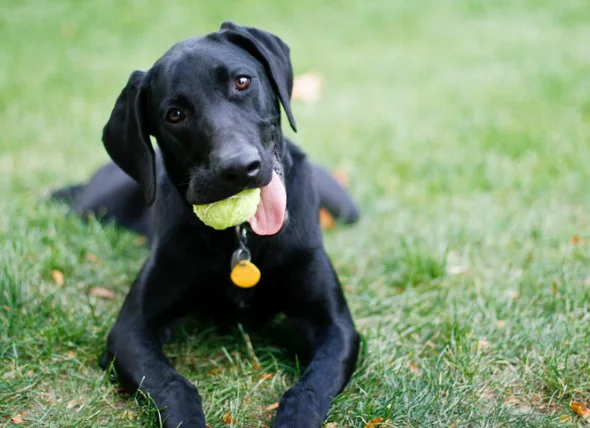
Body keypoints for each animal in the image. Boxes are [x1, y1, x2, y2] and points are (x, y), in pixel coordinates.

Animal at [54, 22, 360, 428]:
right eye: (174, 114)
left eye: (242, 82)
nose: (239, 168)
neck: (243, 237)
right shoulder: (130, 331)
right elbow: (174, 385)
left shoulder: (335, 326)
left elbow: (309, 388)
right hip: (94, 207)